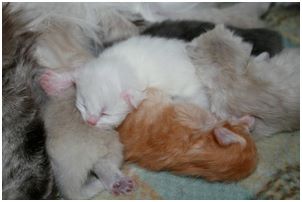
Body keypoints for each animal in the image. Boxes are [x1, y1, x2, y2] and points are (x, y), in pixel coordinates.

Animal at [39, 35, 208, 128]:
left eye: (105, 113)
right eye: (84, 105)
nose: (91, 122)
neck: (125, 65)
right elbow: (76, 72)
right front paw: (54, 81)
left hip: (194, 93)